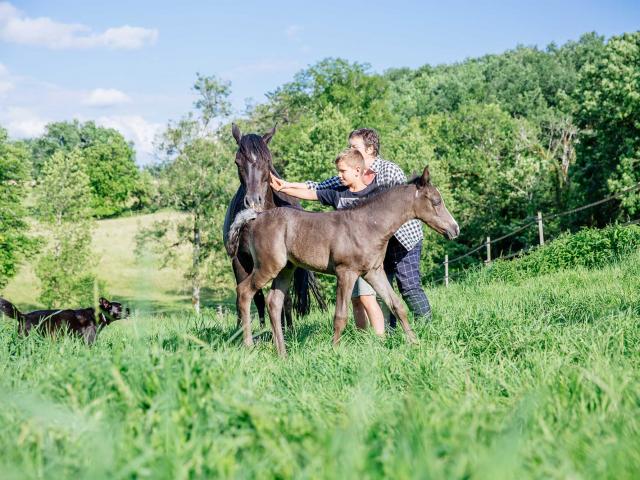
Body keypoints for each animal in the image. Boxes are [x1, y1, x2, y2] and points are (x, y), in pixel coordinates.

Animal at [225, 123, 324, 330]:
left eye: (268, 160)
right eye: (238, 162)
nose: (253, 201)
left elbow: (283, 298)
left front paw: (286, 330)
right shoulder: (240, 260)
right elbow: (252, 296)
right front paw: (249, 330)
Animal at [228, 167, 458, 354]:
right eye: (436, 202)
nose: (454, 229)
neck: (368, 225)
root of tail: (256, 217)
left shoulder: (374, 271)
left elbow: (397, 305)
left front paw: (415, 344)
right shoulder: (345, 272)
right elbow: (340, 316)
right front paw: (334, 351)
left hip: (286, 269)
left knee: (274, 303)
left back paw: (282, 352)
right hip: (267, 266)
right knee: (244, 292)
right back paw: (248, 345)